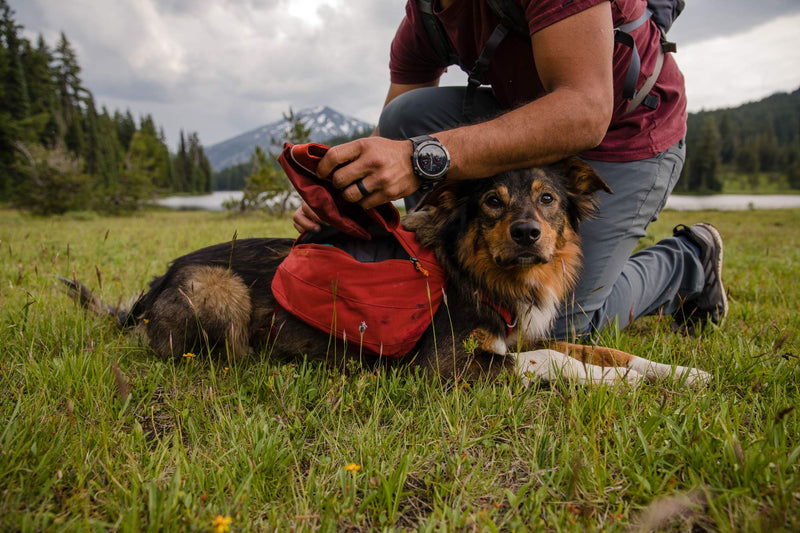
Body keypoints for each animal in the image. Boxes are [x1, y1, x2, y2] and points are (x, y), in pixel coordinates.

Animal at [65, 158, 708, 386]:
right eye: (492, 202)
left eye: (548, 199)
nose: (528, 234)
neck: (476, 270)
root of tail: (156, 282)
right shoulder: (444, 365)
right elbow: (555, 361)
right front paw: (617, 385)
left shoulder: (520, 334)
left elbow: (604, 349)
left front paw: (678, 372)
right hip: (221, 289)